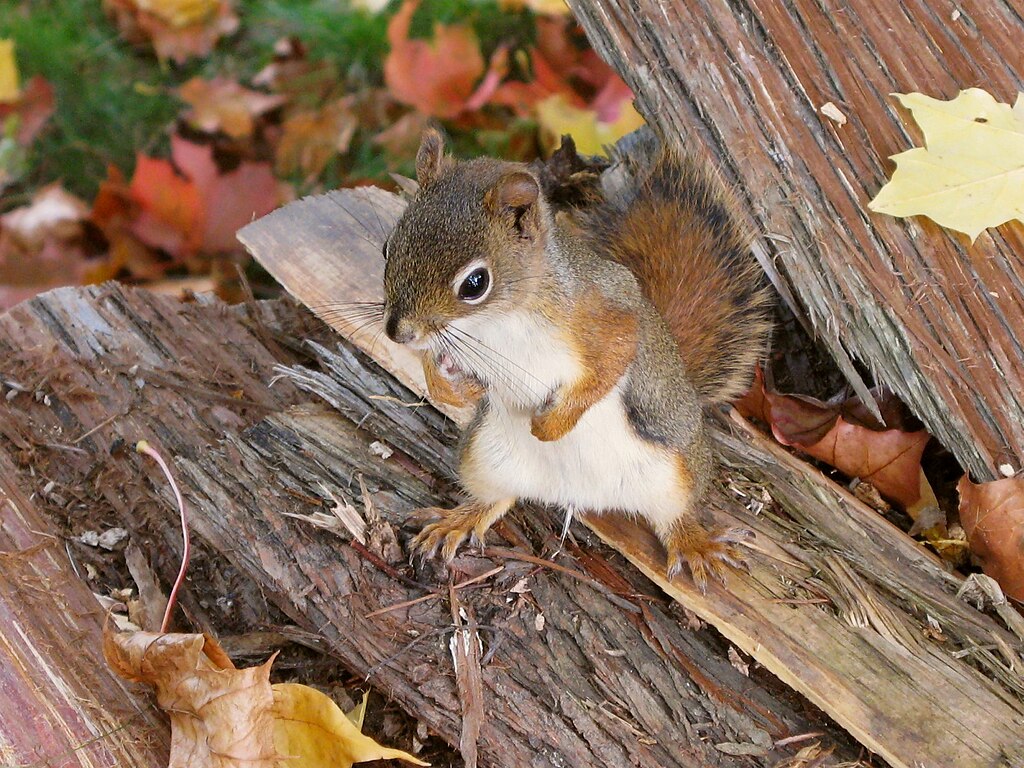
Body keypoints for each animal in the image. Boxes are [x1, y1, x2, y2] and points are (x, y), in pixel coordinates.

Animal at [381, 128, 772, 592]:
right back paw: (457, 521)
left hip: (674, 474)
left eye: (475, 283)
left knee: (675, 517)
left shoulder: (607, 318)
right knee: (494, 499)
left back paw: (694, 544)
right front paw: (447, 386)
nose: (398, 333)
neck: (494, 323)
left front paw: (550, 426)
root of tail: (579, 495)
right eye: (387, 247)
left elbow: (606, 367)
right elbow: (440, 371)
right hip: (484, 458)